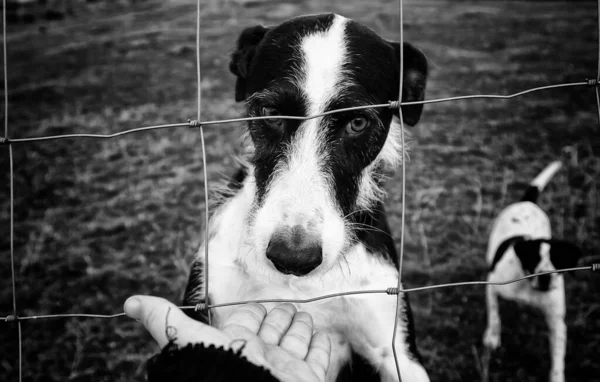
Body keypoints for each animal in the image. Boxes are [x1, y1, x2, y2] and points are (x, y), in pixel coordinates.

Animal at [482, 160, 580, 382]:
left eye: (559, 261)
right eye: (534, 258)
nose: (545, 277)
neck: (528, 286)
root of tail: (528, 202)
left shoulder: (557, 322)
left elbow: (558, 357)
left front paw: (557, 377)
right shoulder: (492, 286)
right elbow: (495, 315)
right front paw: (492, 337)